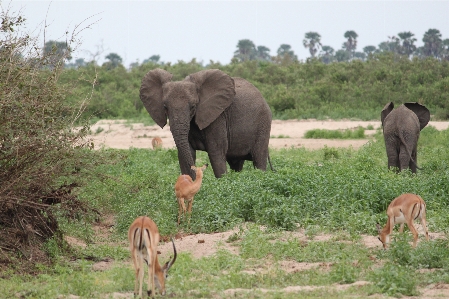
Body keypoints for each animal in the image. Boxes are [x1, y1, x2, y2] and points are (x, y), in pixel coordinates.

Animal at [140, 69, 272, 179]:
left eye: (193, 106)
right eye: (165, 107)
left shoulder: (217, 117)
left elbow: (216, 152)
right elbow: (186, 152)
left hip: (263, 123)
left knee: (259, 158)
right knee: (236, 163)